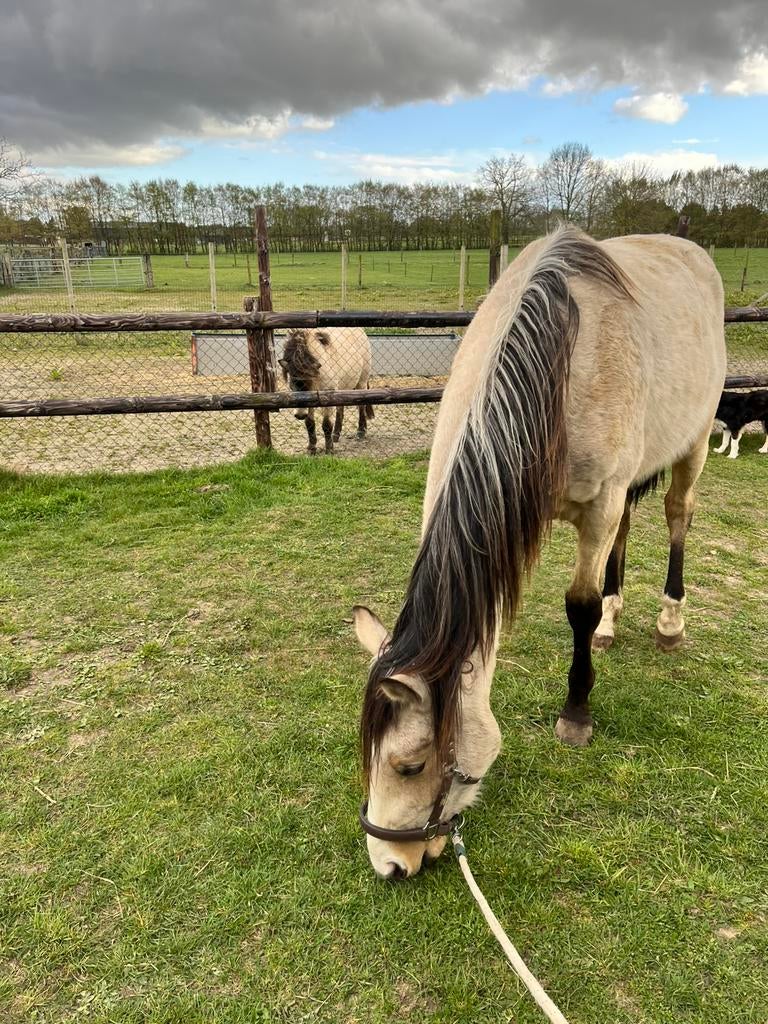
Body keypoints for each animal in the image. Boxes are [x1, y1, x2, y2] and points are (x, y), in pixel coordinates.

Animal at [354, 227, 726, 879]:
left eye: (410, 765)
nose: (388, 865)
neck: (556, 369)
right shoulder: (601, 500)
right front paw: (602, 626)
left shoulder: (599, 504)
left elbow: (577, 604)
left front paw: (576, 712)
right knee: (628, 532)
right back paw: (612, 623)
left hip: (696, 441)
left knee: (677, 514)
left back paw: (669, 622)